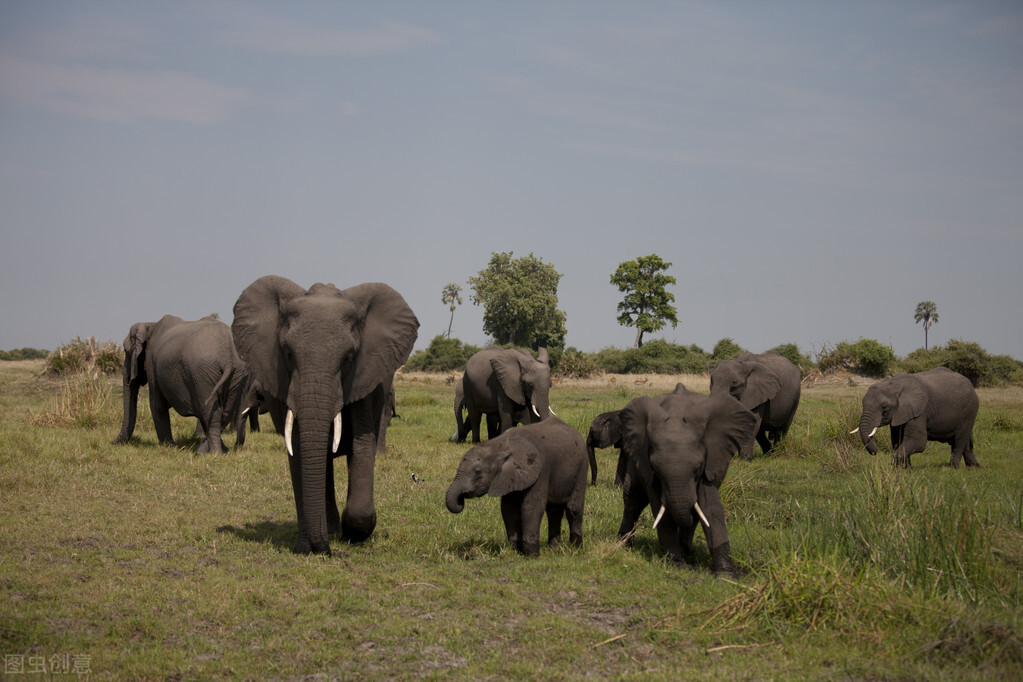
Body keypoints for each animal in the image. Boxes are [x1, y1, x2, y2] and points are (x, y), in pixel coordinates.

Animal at [113, 316, 250, 456]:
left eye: (126, 351)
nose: (112, 443)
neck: (150, 325)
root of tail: (228, 357)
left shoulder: (152, 364)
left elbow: (157, 405)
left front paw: (168, 446)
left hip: (201, 373)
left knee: (211, 411)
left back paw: (211, 454)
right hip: (236, 374)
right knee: (223, 412)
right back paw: (213, 451)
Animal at [233, 274, 419, 556]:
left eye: (348, 358)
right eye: (288, 354)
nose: (327, 550)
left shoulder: (365, 374)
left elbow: (362, 443)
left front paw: (355, 532)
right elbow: (298, 449)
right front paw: (305, 547)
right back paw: (329, 528)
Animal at [446, 417, 589, 556]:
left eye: (477, 472)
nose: (461, 499)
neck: (499, 445)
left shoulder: (541, 470)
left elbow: (531, 507)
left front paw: (532, 556)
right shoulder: (508, 478)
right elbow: (508, 509)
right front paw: (515, 551)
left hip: (582, 465)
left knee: (573, 508)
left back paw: (575, 548)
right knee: (554, 510)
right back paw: (554, 549)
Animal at [613, 386, 761, 572]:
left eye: (697, 468)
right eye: (657, 470)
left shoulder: (710, 459)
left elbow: (709, 506)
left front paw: (726, 572)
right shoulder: (647, 464)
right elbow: (659, 508)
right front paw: (678, 564)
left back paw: (687, 550)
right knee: (633, 498)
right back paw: (623, 545)